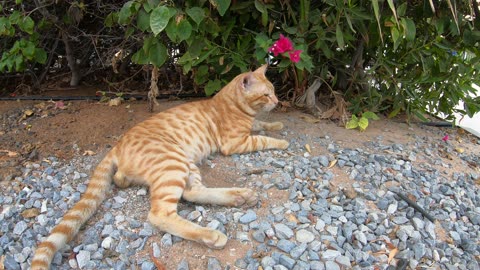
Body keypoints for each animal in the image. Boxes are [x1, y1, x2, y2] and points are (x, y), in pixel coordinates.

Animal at [31, 64, 290, 268]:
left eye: (274, 91)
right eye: (266, 95)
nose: (278, 101)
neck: (230, 103)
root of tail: (117, 146)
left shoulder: (247, 130)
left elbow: (261, 125)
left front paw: (276, 125)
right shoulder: (235, 142)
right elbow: (262, 139)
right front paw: (282, 140)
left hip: (186, 163)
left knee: (193, 192)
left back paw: (239, 196)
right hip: (173, 164)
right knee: (161, 214)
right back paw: (211, 234)